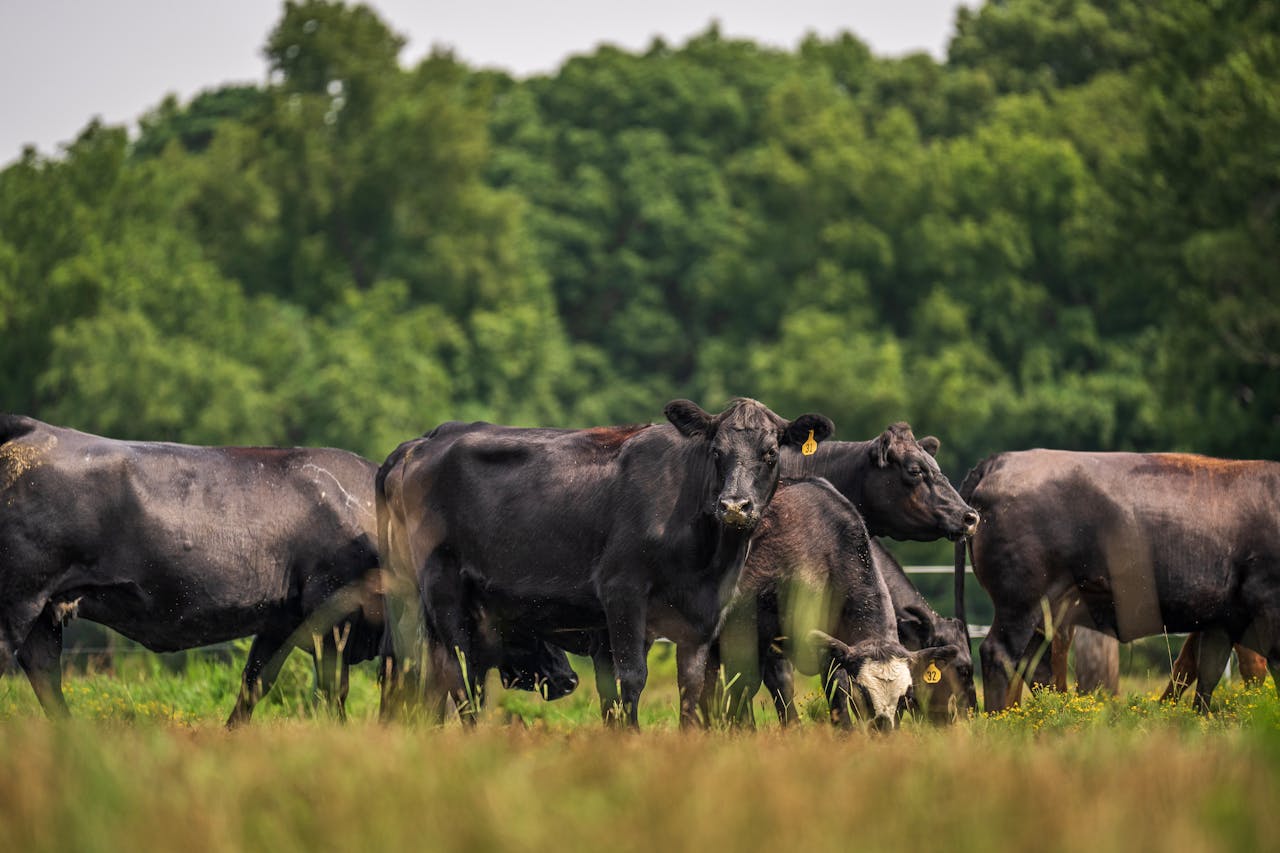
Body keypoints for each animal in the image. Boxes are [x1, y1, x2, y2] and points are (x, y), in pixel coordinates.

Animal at [711, 479, 962, 732]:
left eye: (905, 698)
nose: (884, 731)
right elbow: (745, 684)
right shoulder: (747, 627)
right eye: (864, 692)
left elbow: (833, 688)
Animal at [957, 448, 1280, 712]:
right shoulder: (1265, 605)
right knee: (1000, 654)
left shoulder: (1220, 621)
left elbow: (1205, 673)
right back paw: (1003, 720)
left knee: (1034, 664)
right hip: (1022, 603)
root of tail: (1000, 461)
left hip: (1047, 611)